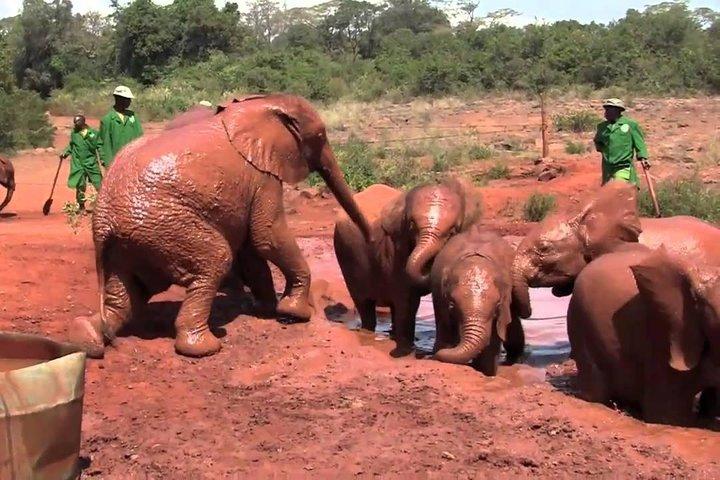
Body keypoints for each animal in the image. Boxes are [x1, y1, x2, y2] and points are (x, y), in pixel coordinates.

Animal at [70, 94, 371, 358]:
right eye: (320, 137)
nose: (369, 239)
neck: (261, 103)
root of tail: (102, 220)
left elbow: (252, 248)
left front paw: (266, 309)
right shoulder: (262, 175)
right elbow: (266, 235)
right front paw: (295, 313)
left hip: (129, 244)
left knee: (126, 297)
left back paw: (88, 338)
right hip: (164, 226)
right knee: (215, 260)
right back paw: (206, 347)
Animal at [333, 177, 482, 356]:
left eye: (452, 231)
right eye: (412, 226)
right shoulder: (395, 247)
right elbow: (407, 298)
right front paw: (407, 349)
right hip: (346, 256)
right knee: (364, 303)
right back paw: (369, 332)